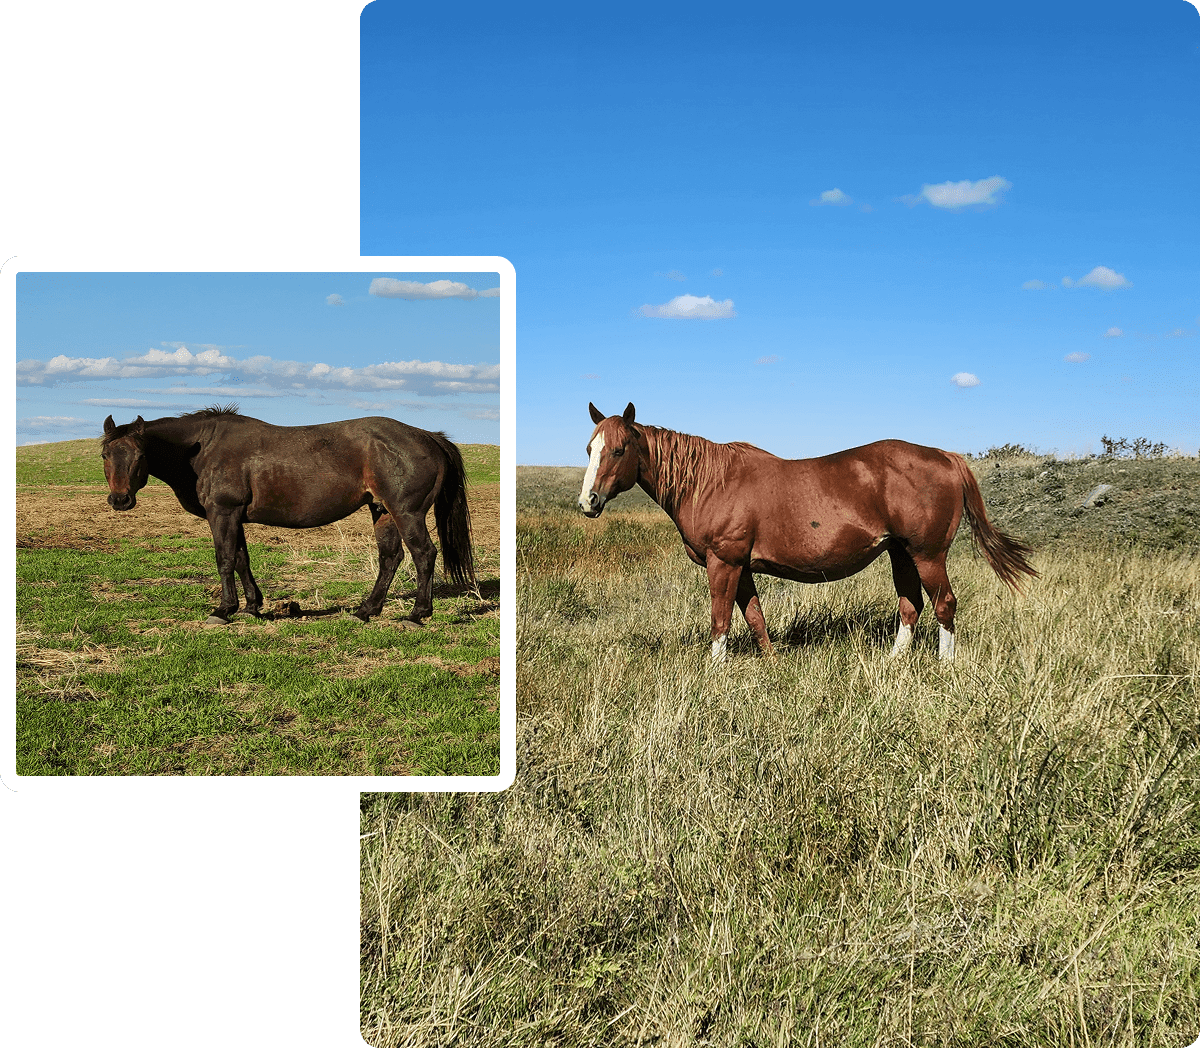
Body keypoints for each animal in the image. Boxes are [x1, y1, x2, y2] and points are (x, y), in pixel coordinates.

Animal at [101, 405, 476, 625]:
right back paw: (366, 611)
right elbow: (241, 559)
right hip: (382, 510)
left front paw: (223, 610)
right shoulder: (234, 517)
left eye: (139, 456)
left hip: (406, 512)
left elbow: (225, 559)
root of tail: (429, 436)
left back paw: (417, 614)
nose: (120, 500)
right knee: (391, 558)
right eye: (105, 454)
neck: (203, 450)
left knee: (423, 554)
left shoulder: (222, 512)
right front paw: (252, 606)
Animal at [578, 402, 1036, 662]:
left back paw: (945, 665)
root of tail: (946, 456)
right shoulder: (742, 566)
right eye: (588, 448)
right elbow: (755, 618)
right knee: (911, 606)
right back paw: (892, 663)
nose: (588, 501)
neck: (710, 481)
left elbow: (721, 619)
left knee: (944, 605)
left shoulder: (723, 562)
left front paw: (715, 671)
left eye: (618, 449)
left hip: (928, 554)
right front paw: (772, 665)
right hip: (901, 552)